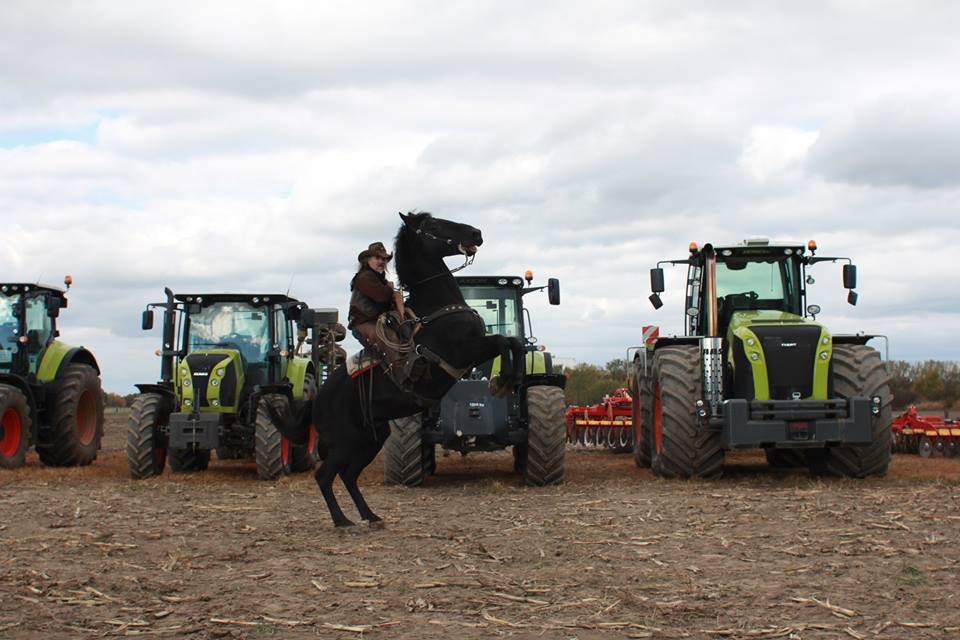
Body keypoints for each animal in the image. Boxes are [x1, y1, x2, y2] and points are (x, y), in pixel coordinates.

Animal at [274, 212, 524, 528]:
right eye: (432, 226)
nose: (476, 233)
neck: (438, 308)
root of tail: (316, 401)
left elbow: (513, 342)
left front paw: (510, 379)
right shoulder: (465, 351)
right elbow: (504, 341)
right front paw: (503, 381)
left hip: (370, 438)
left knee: (348, 476)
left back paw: (370, 516)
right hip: (344, 442)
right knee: (325, 476)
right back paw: (343, 521)